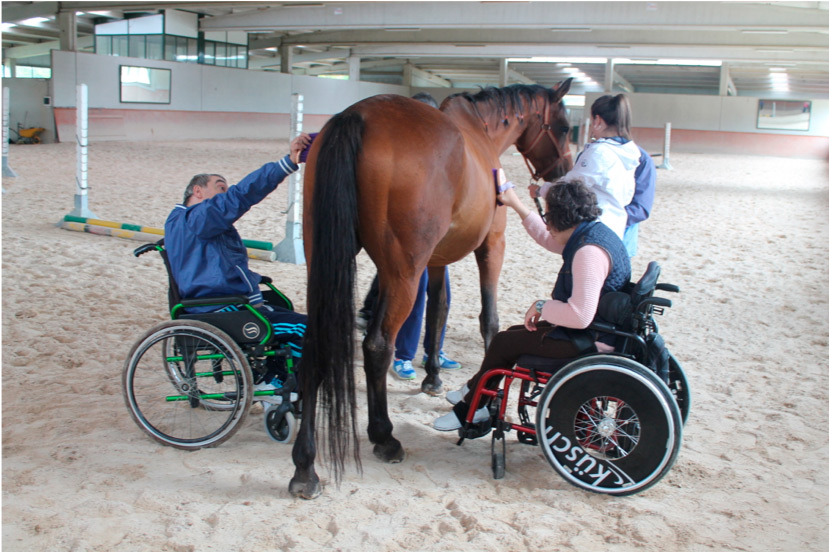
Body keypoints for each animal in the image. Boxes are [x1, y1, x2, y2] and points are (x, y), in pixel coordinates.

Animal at [290, 78, 568, 500]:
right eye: (566, 127)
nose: (566, 172)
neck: (481, 134)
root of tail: (358, 116)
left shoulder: (435, 262)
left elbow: (437, 313)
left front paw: (433, 377)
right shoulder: (493, 246)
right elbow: (489, 319)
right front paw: (488, 398)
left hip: (334, 266)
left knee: (317, 346)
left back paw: (305, 466)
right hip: (403, 273)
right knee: (377, 346)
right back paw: (384, 437)